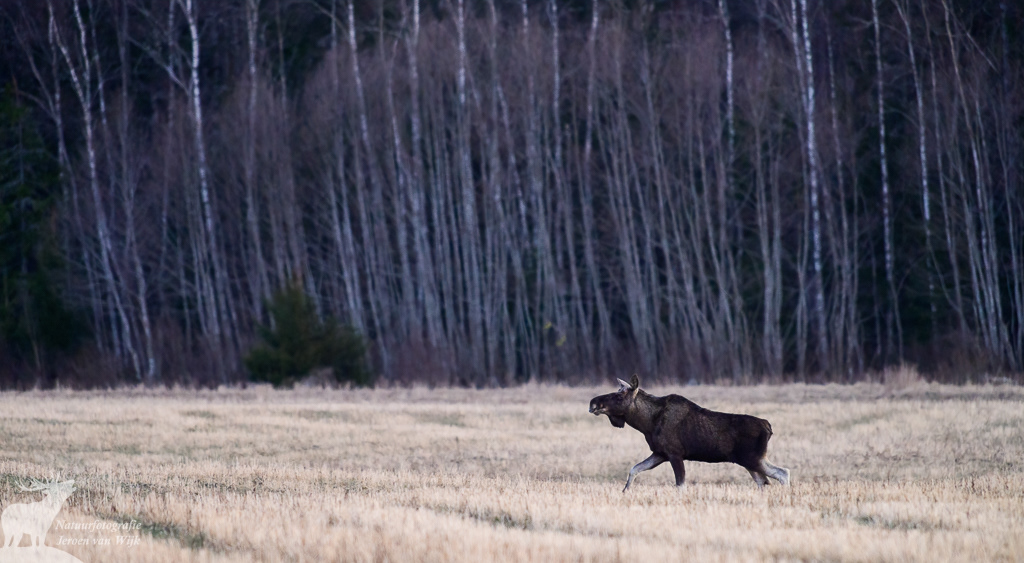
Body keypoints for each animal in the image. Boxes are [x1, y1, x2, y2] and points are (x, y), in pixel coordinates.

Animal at [589, 374, 790, 490]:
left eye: (618, 396)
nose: (593, 403)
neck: (646, 423)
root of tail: (768, 427)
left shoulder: (675, 454)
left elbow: (680, 486)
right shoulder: (660, 453)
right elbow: (634, 469)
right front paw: (625, 491)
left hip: (752, 458)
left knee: (783, 473)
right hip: (749, 461)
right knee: (764, 481)